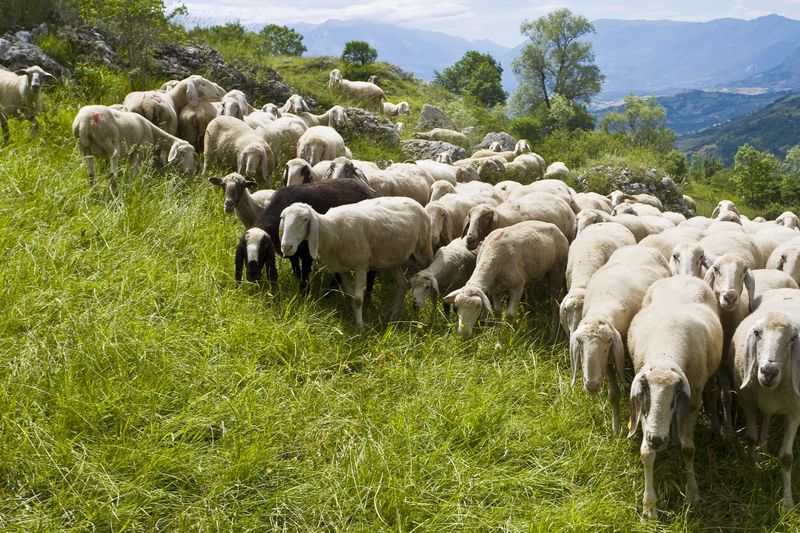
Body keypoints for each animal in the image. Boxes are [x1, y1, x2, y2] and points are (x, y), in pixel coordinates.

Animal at [237, 178, 375, 292]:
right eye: (243, 249)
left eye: (264, 249)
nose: (252, 275)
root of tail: (363, 186)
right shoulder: (291, 252)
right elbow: (297, 271)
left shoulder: (307, 253)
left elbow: (304, 275)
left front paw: (304, 293)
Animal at [279, 197, 433, 326]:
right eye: (282, 218)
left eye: (305, 219)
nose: (286, 247)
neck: (332, 231)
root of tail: (415, 202)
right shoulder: (342, 269)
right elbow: (350, 296)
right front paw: (353, 319)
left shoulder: (361, 266)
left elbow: (358, 299)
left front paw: (360, 327)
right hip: (392, 259)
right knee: (402, 283)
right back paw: (394, 318)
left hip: (424, 249)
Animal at [570, 245, 670, 435]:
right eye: (579, 341)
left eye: (609, 341)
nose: (592, 386)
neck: (601, 308)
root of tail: (640, 246)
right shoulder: (609, 362)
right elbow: (613, 395)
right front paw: (615, 430)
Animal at [626, 275, 722, 519]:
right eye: (648, 394)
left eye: (673, 399)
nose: (657, 440)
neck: (665, 352)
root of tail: (682, 276)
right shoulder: (645, 409)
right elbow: (646, 453)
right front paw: (649, 508)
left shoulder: (692, 402)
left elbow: (688, 450)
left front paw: (692, 494)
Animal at [731, 288, 800, 509]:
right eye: (757, 333)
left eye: (792, 339)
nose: (768, 371)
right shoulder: (746, 401)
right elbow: (750, 438)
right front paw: (752, 468)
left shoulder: (796, 411)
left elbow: (786, 457)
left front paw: (788, 502)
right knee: (767, 419)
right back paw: (761, 450)